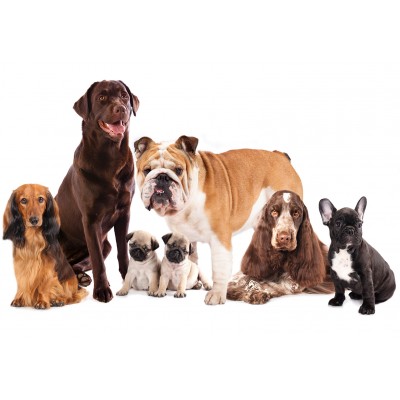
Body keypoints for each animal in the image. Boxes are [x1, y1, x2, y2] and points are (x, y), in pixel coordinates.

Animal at [133, 136, 302, 304]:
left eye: (178, 170)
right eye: (147, 170)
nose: (162, 177)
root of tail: (281, 156)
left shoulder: (219, 239)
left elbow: (219, 269)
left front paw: (217, 294)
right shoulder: (187, 239)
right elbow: (192, 263)